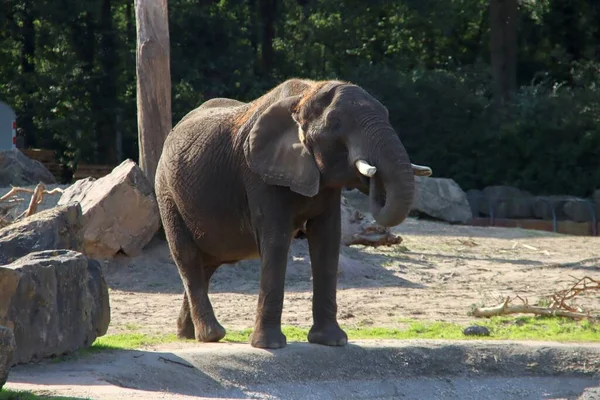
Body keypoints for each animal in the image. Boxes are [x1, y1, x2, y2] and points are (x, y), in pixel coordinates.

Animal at [152, 77, 428, 346]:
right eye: (335, 123)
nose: (372, 178)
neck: (306, 94)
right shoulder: (258, 174)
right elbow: (276, 241)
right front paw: (269, 345)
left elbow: (328, 240)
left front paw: (332, 341)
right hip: (166, 193)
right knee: (188, 258)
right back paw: (212, 335)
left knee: (207, 265)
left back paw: (188, 335)